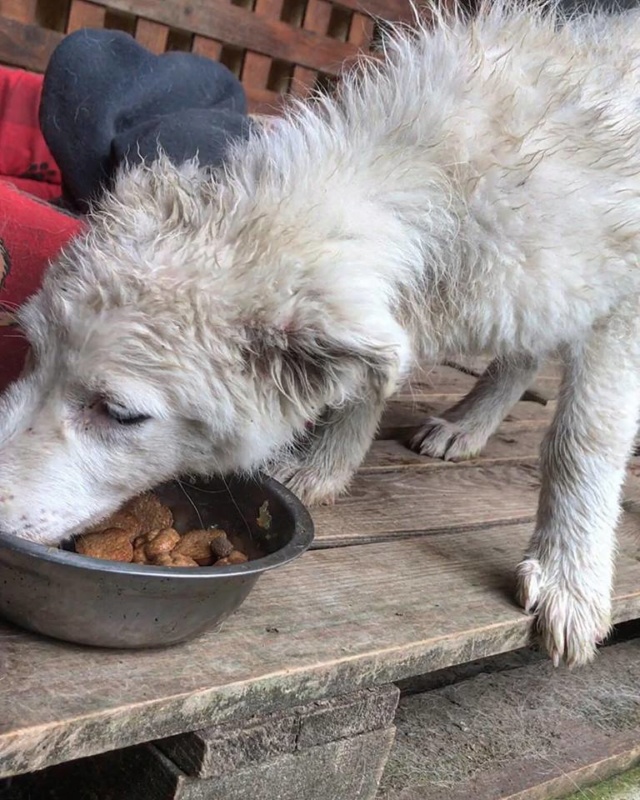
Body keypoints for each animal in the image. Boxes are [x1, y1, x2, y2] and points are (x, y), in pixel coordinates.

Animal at [1, 3, 640, 664]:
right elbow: (367, 381)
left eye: (121, 414)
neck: (446, 183)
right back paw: (467, 424)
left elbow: (581, 440)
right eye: (32, 355)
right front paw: (325, 467)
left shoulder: (618, 305)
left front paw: (571, 578)